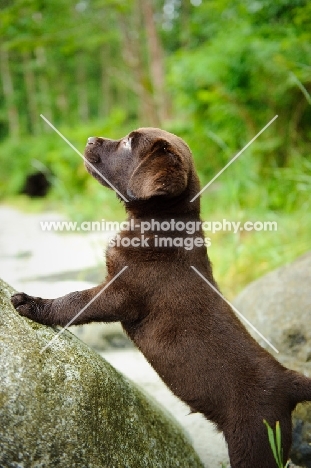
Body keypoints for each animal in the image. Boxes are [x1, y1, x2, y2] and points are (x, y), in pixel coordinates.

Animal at [11, 127, 311, 464]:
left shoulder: (119, 292)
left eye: (129, 143)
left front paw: (32, 304)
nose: (89, 140)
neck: (160, 224)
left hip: (254, 440)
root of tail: (289, 380)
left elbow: (74, 301)